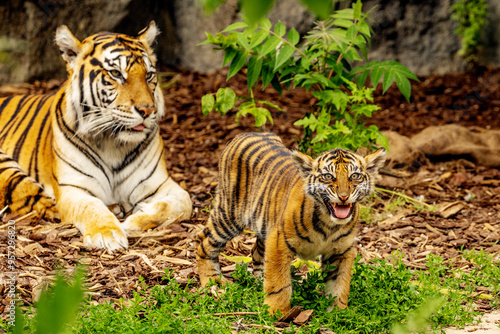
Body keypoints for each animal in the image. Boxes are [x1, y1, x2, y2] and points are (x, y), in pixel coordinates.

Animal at [0, 21, 191, 250]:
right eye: (116, 73)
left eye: (149, 75)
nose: (147, 110)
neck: (114, 144)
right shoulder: (73, 188)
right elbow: (90, 206)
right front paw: (107, 233)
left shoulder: (161, 184)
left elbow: (182, 204)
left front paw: (132, 221)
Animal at [195, 132, 386, 314]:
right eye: (328, 176)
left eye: (355, 176)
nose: (344, 196)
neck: (329, 224)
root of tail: (244, 134)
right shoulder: (279, 243)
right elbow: (278, 282)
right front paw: (277, 311)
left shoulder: (342, 251)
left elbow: (339, 284)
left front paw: (339, 313)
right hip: (230, 213)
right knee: (204, 240)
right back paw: (213, 282)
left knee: (256, 252)